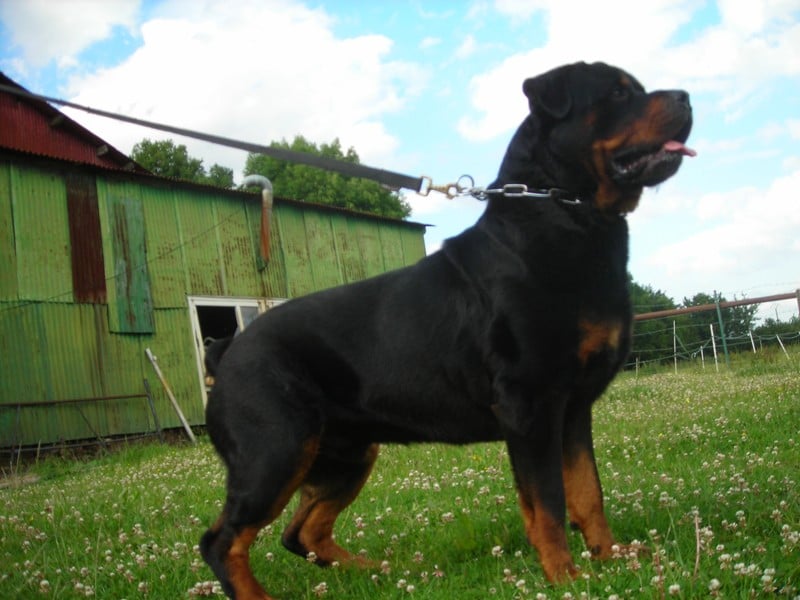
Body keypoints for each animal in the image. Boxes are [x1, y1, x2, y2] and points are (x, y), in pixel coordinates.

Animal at [200, 61, 694, 599]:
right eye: (619, 94)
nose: (687, 97)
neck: (566, 213)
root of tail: (228, 349)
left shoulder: (574, 407)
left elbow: (588, 492)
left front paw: (612, 557)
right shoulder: (530, 404)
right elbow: (548, 503)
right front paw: (564, 574)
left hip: (347, 453)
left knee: (301, 531)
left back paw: (372, 571)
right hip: (274, 450)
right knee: (222, 541)